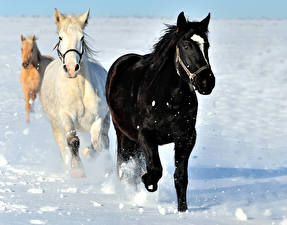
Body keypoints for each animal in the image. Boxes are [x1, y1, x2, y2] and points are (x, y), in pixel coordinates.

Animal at [41, 8, 111, 178]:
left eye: (82, 37)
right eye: (60, 37)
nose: (72, 68)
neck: (79, 90)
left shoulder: (98, 117)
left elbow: (96, 144)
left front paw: (88, 154)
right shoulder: (66, 117)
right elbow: (73, 141)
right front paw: (77, 169)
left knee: (105, 142)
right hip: (55, 125)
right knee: (63, 146)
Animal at [106, 11, 216, 212]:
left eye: (207, 45)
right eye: (186, 45)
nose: (206, 82)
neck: (168, 99)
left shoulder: (186, 138)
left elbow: (180, 177)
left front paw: (183, 210)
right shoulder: (146, 136)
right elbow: (155, 169)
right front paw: (148, 181)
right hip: (123, 133)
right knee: (125, 165)